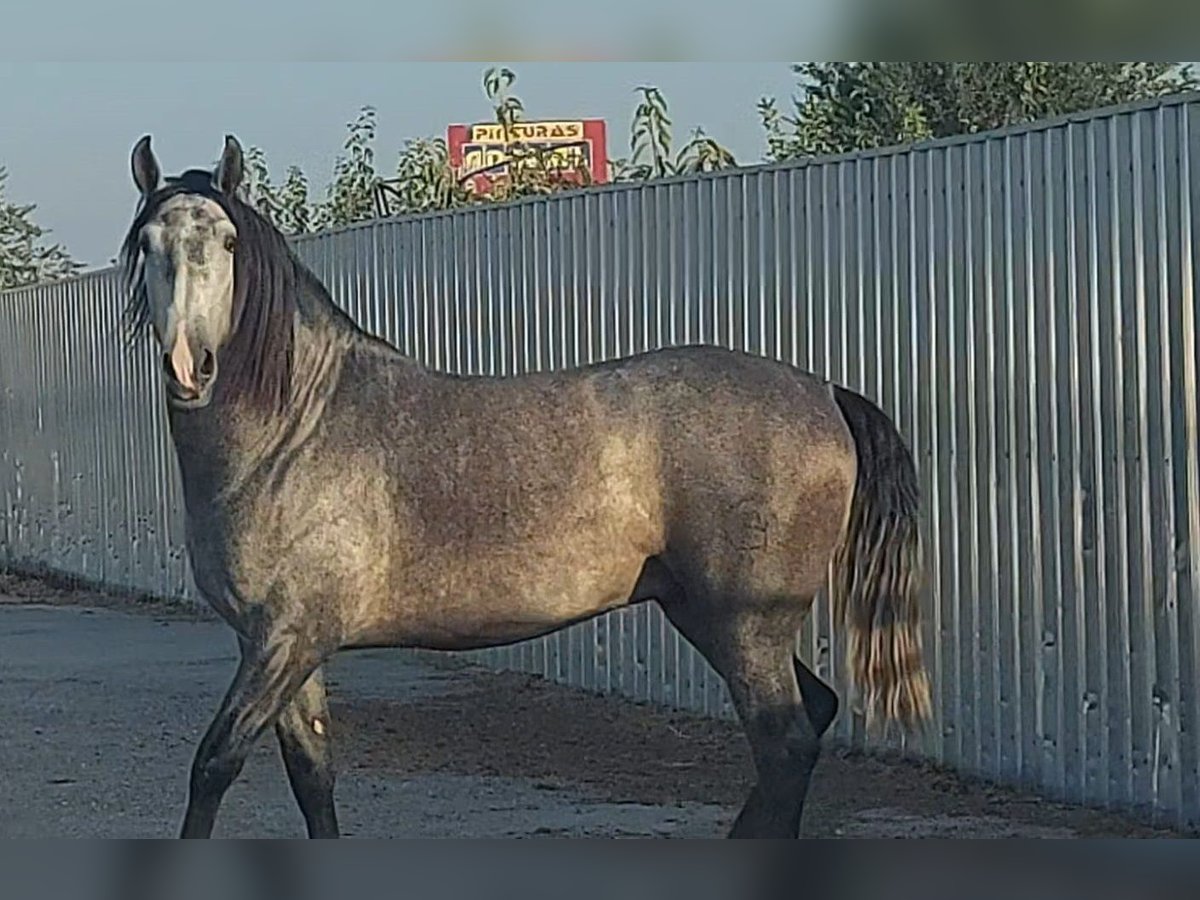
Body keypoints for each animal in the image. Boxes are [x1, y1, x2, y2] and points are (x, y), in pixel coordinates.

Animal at [117, 132, 931, 840]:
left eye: (228, 245)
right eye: (149, 244)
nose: (190, 366)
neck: (293, 432)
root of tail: (824, 392)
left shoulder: (286, 637)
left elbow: (214, 765)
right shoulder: (279, 642)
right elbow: (312, 775)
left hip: (745, 623)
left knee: (785, 742)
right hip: (704, 614)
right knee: (809, 720)